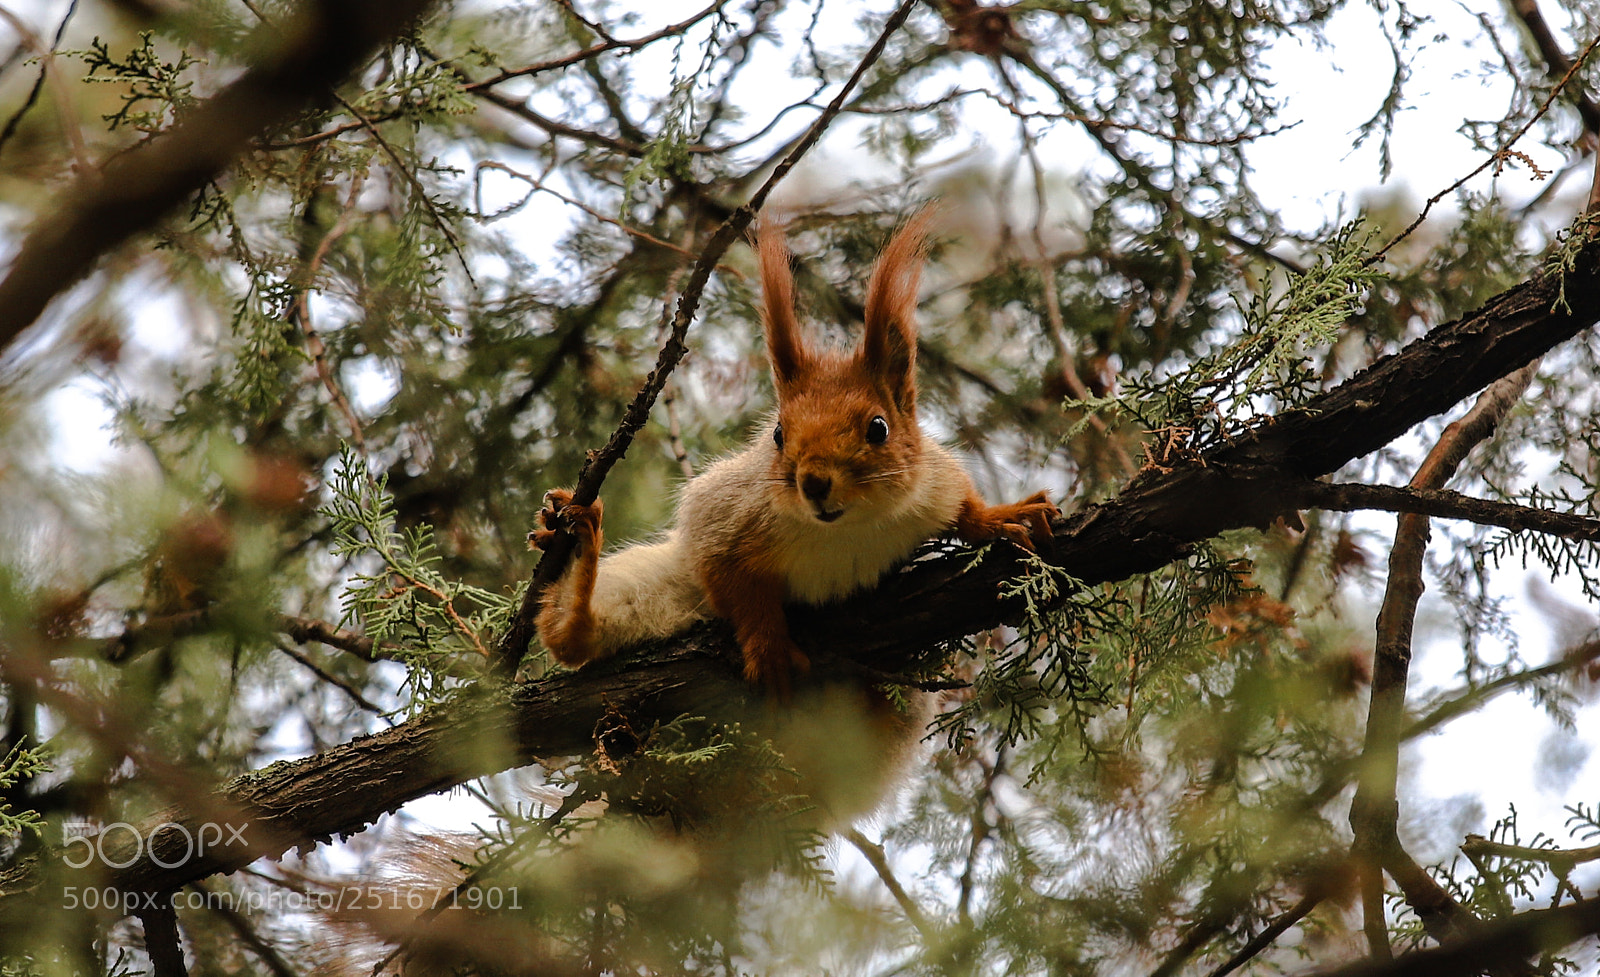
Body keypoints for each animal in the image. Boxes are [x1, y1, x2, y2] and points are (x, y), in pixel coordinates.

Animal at [533, 212, 1059, 698]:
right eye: (778, 435)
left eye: (879, 428)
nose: (814, 482)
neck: (847, 529)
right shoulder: (724, 522)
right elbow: (740, 591)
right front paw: (768, 647)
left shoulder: (930, 482)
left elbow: (962, 503)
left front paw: (999, 518)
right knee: (572, 640)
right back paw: (576, 552)